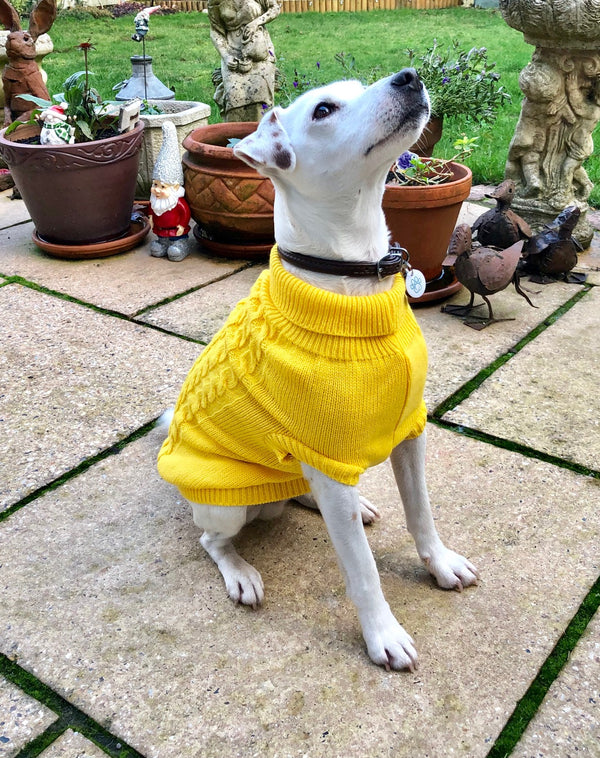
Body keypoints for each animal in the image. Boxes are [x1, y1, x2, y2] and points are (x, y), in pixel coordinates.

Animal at [159, 71, 478, 672]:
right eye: (324, 109)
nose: (409, 77)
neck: (354, 278)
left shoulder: (410, 431)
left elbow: (421, 513)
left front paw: (441, 564)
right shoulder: (329, 459)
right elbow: (363, 570)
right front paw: (383, 635)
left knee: (304, 495)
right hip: (225, 506)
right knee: (212, 540)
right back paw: (241, 573)